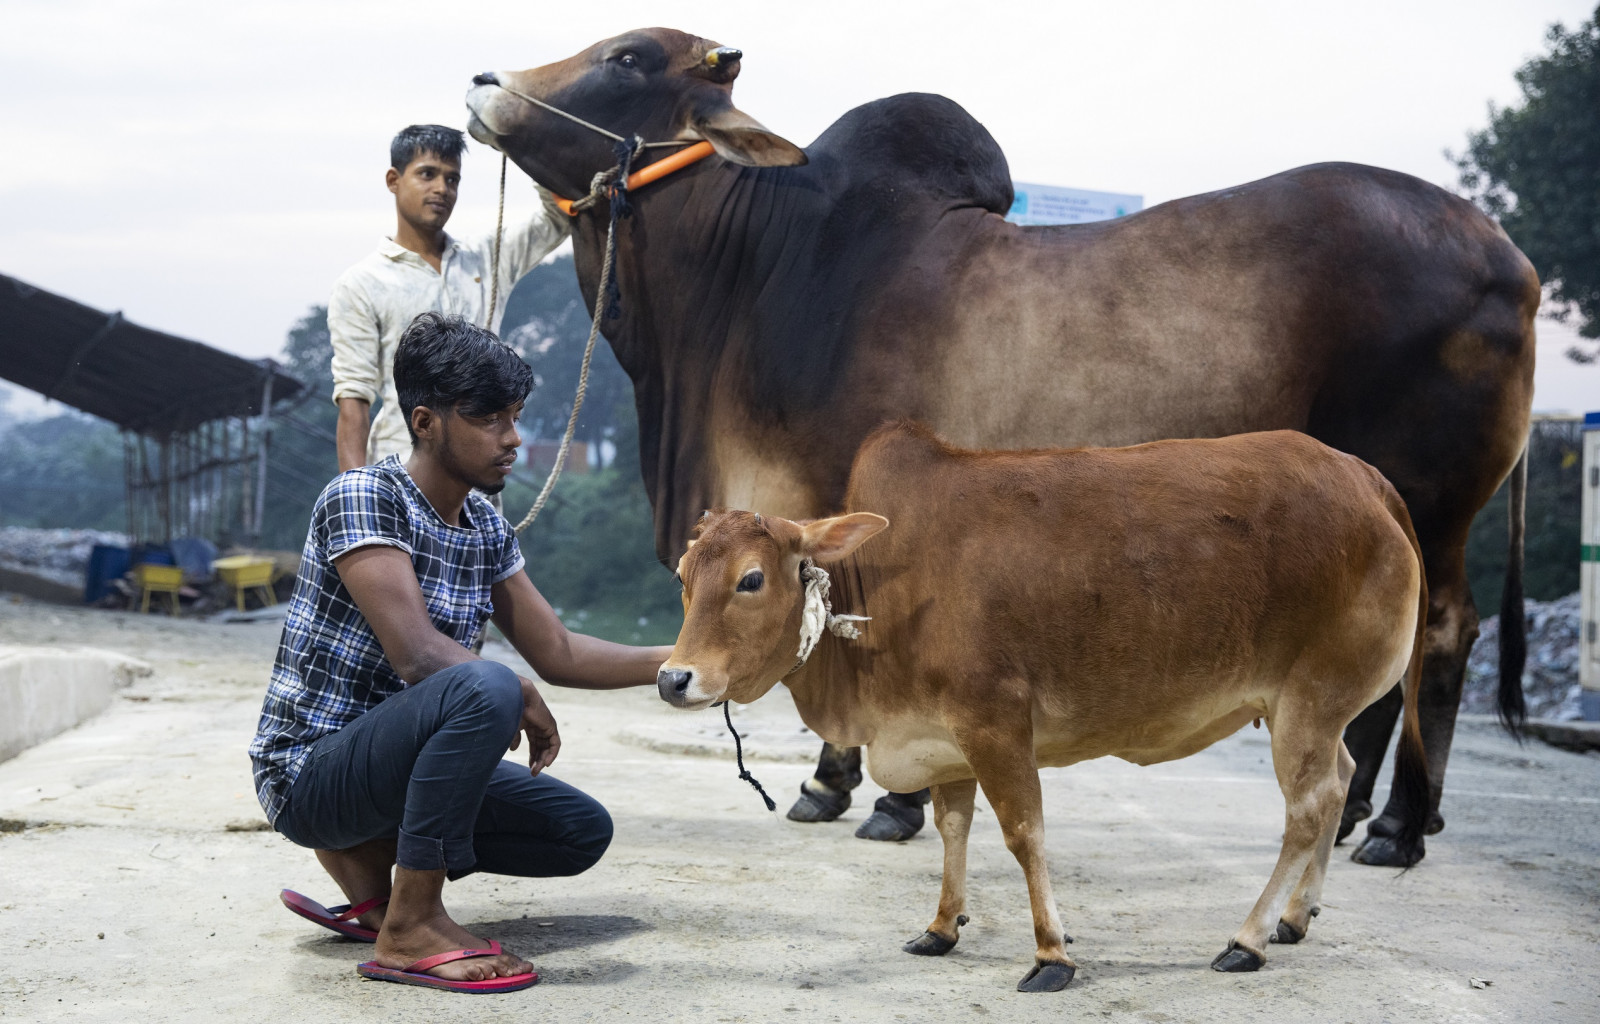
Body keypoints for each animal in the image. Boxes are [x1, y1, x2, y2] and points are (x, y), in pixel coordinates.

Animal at [467, 28, 1536, 870]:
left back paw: (1396, 826)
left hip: (1426, 502)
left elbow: (842, 617)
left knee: (1442, 633)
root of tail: (1510, 259)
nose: (482, 81)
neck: (756, 270)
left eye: (627, 57)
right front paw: (847, 785)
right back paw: (1355, 814)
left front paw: (875, 796)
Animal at [656, 419, 1433, 985]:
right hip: (1309, 710)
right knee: (1338, 783)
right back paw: (1296, 917)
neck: (882, 592)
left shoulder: (996, 723)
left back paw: (1248, 938)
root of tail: (1365, 478)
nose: (672, 679)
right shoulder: (946, 742)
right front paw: (942, 927)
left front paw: (1051, 953)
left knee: (1309, 807)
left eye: (751, 579)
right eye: (684, 575)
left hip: (1309, 700)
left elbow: (1023, 832)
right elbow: (954, 829)